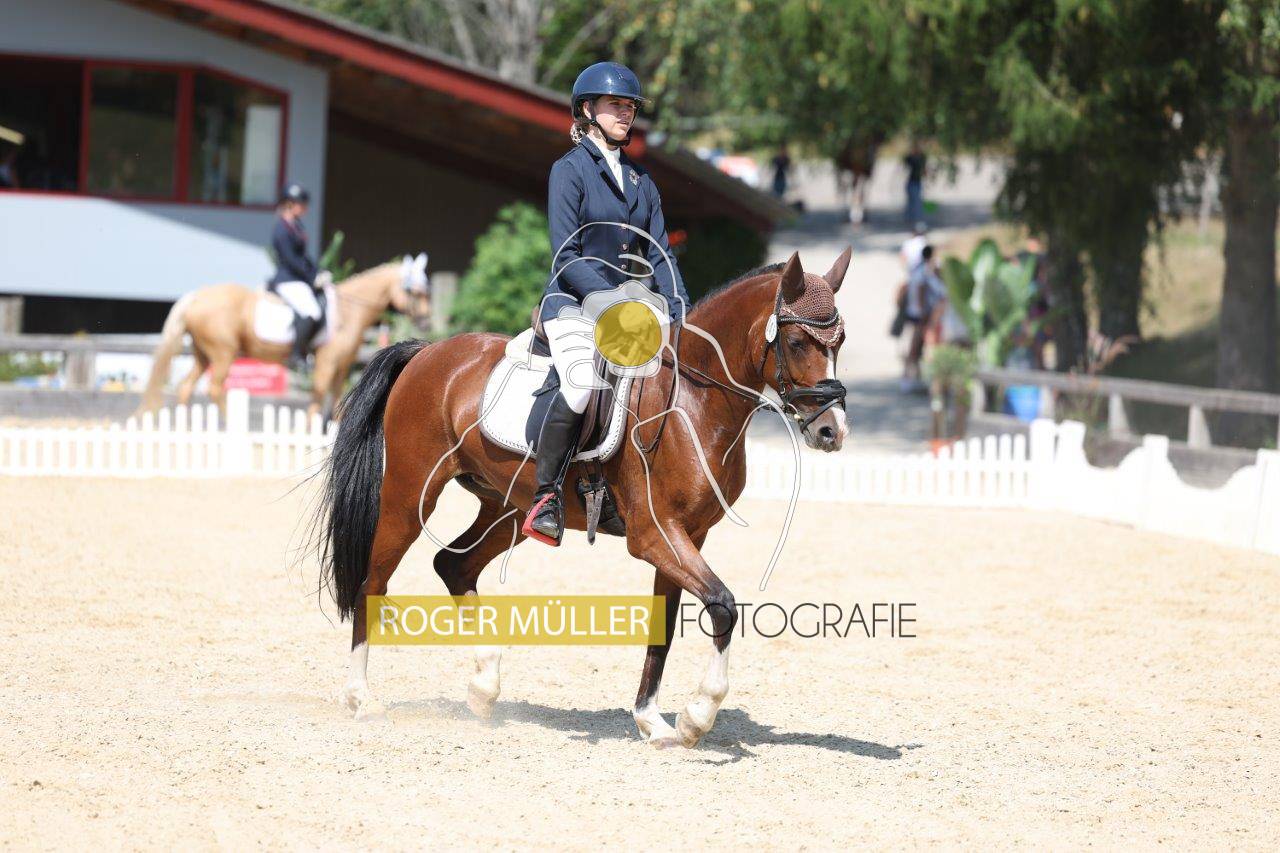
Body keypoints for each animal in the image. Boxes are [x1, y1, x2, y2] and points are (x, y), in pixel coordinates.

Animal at [136, 255, 433, 421]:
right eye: (416, 292)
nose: (426, 322)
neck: (349, 311)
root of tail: (198, 295)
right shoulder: (327, 362)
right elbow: (319, 396)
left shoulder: (342, 366)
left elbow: (339, 400)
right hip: (222, 353)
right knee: (215, 388)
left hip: (203, 354)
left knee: (186, 387)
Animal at [312, 248, 851, 749]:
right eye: (797, 341)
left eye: (840, 341)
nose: (832, 431)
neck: (694, 401)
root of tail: (429, 353)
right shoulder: (654, 535)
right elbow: (722, 605)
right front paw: (696, 717)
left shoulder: (687, 537)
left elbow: (664, 626)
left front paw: (651, 721)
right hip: (409, 497)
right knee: (373, 584)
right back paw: (363, 699)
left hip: (508, 510)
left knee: (454, 565)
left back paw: (484, 687)